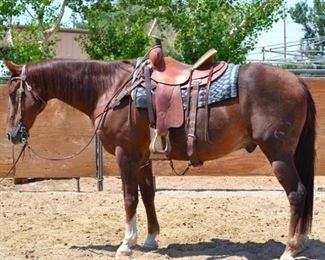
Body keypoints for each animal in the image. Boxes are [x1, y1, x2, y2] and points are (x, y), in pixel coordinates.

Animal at [4, 59, 314, 260]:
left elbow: (130, 197)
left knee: (297, 193)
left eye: (13, 93)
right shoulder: (142, 157)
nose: (12, 134)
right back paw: (301, 241)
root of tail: (297, 80)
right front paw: (151, 238)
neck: (111, 89)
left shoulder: (126, 154)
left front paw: (126, 243)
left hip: (278, 154)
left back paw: (289, 249)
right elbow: (148, 194)